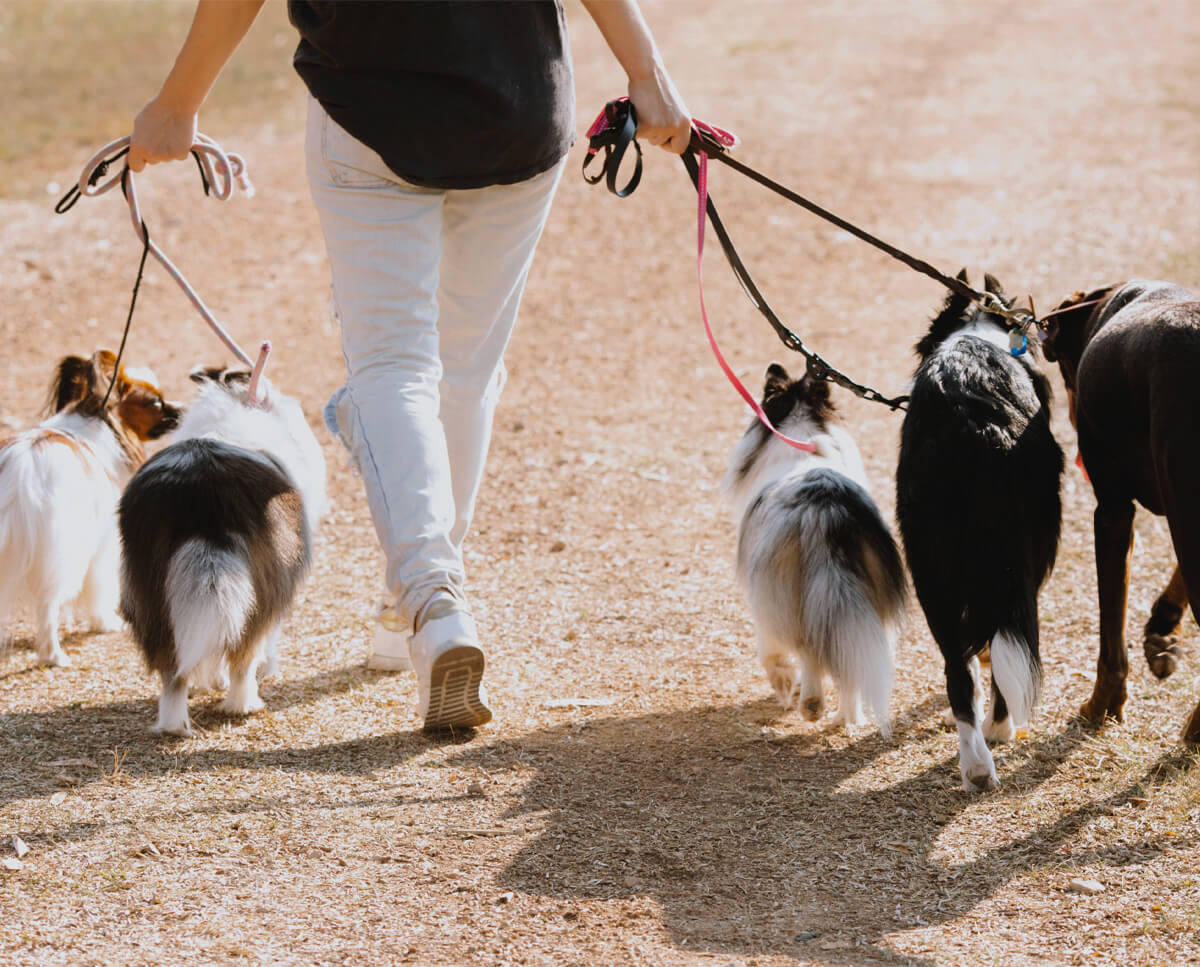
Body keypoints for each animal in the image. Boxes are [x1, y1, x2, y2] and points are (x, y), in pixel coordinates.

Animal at [0, 352, 182, 671]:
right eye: (156, 404)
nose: (183, 409)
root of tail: (16, 479)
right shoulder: (102, 542)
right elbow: (99, 586)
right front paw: (104, 623)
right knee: (47, 605)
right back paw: (53, 656)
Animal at [118, 367, 326, 739]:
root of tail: (201, 491)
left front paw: (210, 681)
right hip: (266, 586)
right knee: (245, 651)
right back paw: (244, 704)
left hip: (148, 590)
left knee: (172, 666)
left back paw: (173, 723)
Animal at [720, 364, 907, 734]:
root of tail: (826, 510)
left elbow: (773, 655)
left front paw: (784, 686)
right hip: (867, 600)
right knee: (851, 659)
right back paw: (845, 717)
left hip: (781, 592)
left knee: (808, 648)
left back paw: (811, 705)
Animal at [897, 274, 1065, 796]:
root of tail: (973, 421)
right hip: (1021, 555)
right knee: (1003, 644)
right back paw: (996, 734)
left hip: (928, 564)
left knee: (956, 668)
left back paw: (974, 765)